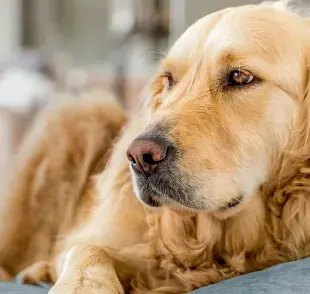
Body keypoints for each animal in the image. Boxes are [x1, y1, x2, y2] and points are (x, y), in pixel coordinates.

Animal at [1, 0, 310, 292]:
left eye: (240, 77)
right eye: (169, 80)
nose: (140, 156)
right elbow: (88, 247)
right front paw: (80, 285)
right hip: (81, 113)